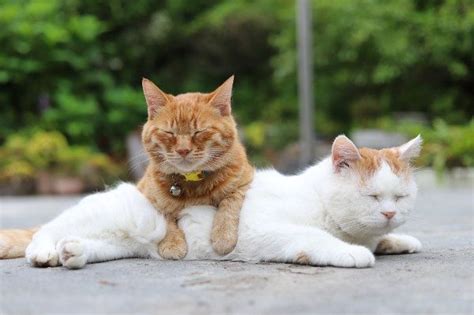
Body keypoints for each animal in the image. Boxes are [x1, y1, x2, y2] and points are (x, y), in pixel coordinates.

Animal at [22, 135, 422, 270]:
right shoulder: (261, 231)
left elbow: (381, 239)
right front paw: (353, 252)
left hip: (123, 245)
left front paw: (399, 240)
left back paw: (73, 252)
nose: (389, 212)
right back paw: (44, 252)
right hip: (102, 215)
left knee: (88, 245)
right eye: (372, 196)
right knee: (47, 229)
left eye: (400, 197)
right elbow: (316, 239)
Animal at [138, 76, 254, 260]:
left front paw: (223, 236)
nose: (183, 150)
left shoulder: (246, 182)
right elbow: (164, 216)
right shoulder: (146, 195)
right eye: (169, 133)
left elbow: (229, 202)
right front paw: (172, 243)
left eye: (199, 132)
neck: (192, 182)